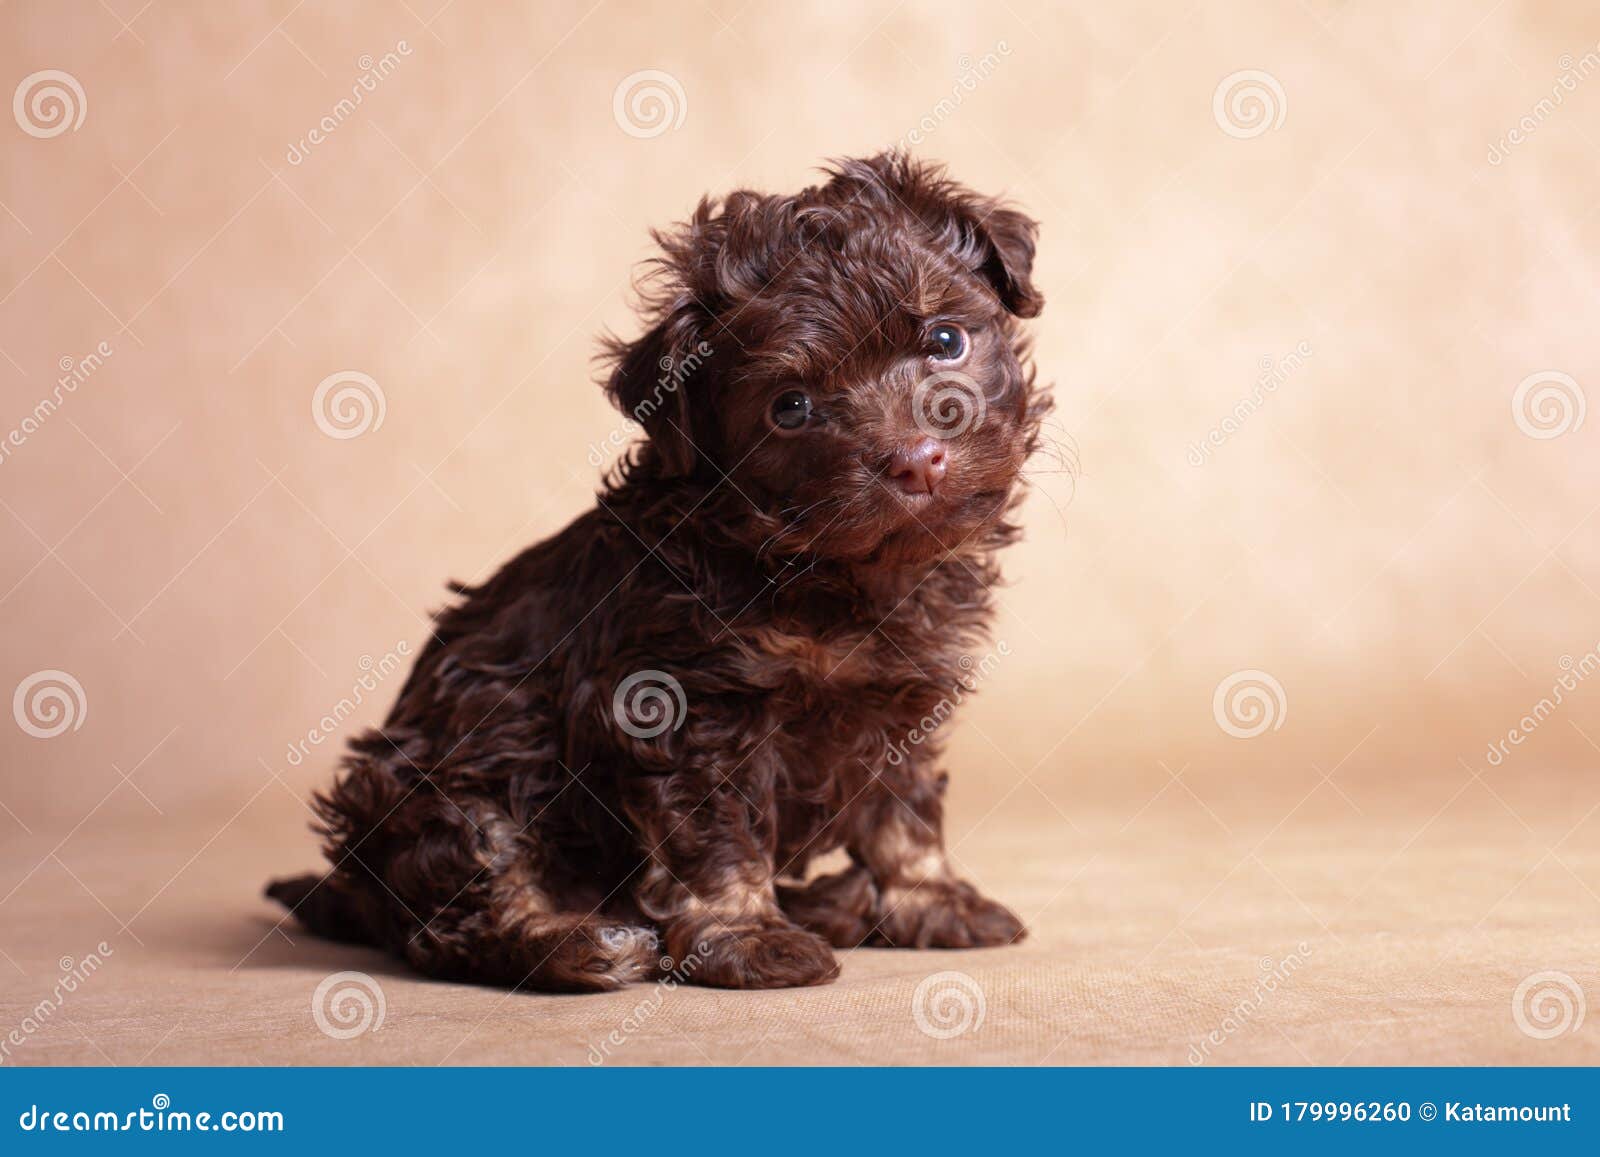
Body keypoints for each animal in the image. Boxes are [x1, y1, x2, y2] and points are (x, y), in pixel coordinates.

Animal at [267, 149, 1049, 992]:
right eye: (791, 407)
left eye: (946, 339)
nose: (915, 459)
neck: (834, 570)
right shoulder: (680, 704)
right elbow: (715, 833)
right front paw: (747, 937)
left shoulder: (901, 693)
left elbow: (906, 810)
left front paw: (932, 900)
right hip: (452, 781)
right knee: (457, 911)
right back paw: (583, 942)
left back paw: (829, 903)